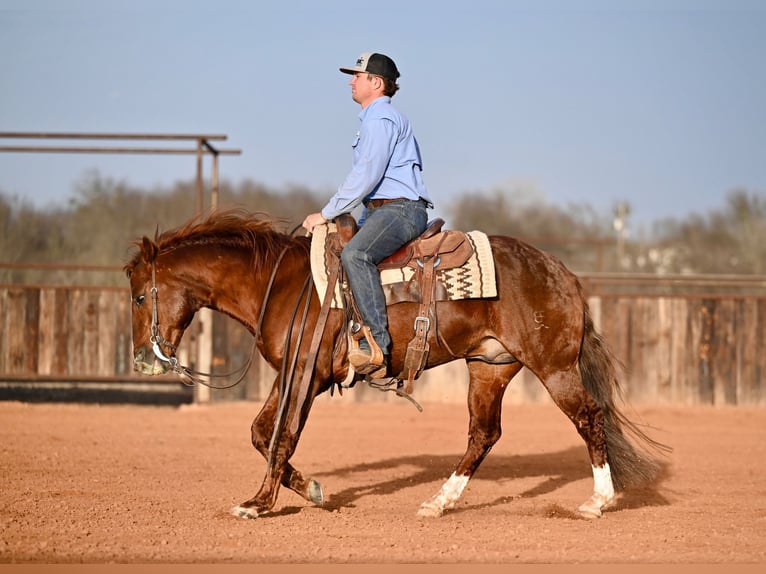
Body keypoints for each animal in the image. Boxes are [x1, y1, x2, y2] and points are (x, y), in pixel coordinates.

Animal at [124, 208, 668, 520]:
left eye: (137, 297)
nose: (143, 360)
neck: (283, 284)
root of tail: (562, 272)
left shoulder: (306, 374)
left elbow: (282, 437)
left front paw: (260, 504)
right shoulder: (293, 373)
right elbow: (262, 433)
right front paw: (313, 491)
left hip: (553, 367)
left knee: (589, 418)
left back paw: (598, 501)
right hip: (490, 367)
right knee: (483, 435)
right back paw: (438, 502)